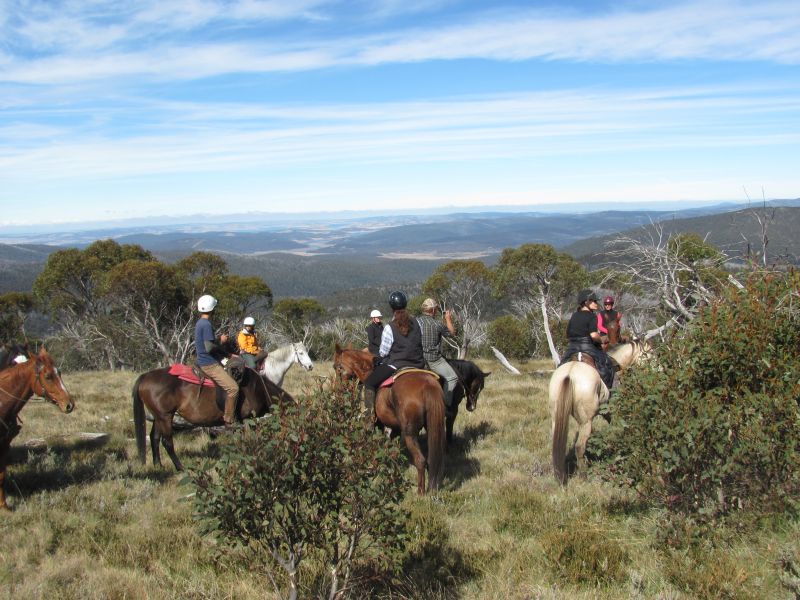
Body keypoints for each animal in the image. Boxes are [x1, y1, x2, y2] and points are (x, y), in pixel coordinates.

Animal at [0, 346, 74, 510]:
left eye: (59, 373)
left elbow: (1, 475)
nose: (69, 404)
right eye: (47, 376)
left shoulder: (4, 445)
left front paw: (4, 506)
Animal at [131, 364, 294, 472]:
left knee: (154, 438)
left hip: (159, 417)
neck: (257, 388)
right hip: (165, 416)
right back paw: (181, 467)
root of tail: (145, 377)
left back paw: (158, 465)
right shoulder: (247, 419)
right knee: (167, 442)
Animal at [330, 344, 446, 494]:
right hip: (433, 428)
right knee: (433, 460)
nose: (338, 391)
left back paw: (420, 492)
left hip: (409, 433)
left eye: (337, 367)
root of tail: (428, 384)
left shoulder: (378, 424)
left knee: (420, 460)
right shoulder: (395, 428)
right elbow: (392, 450)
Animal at [552, 336, 648, 486]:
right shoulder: (612, 410)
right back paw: (583, 475)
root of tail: (569, 374)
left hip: (557, 416)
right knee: (579, 446)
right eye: (651, 353)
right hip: (586, 421)